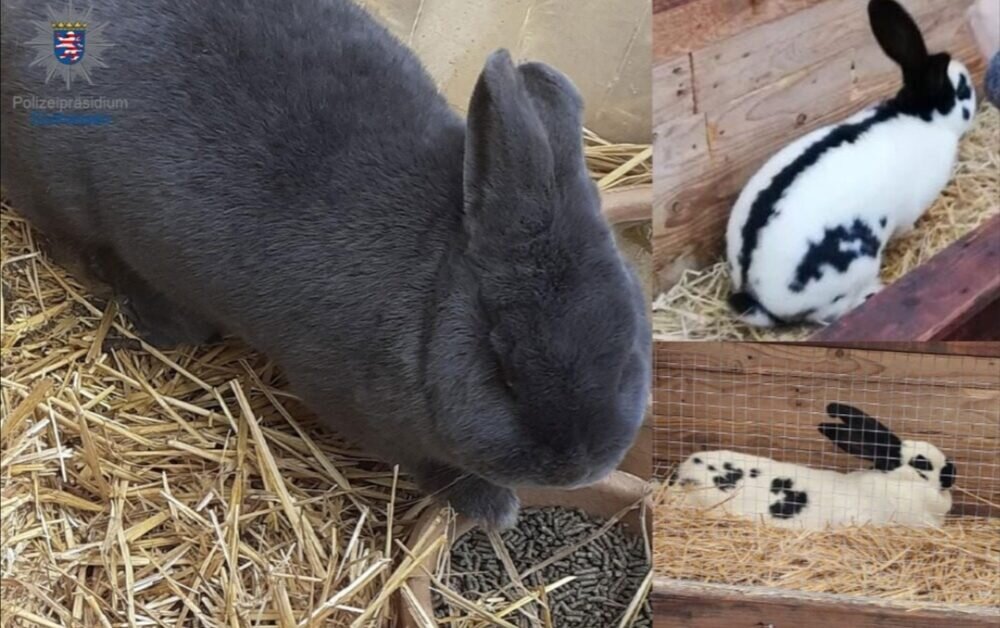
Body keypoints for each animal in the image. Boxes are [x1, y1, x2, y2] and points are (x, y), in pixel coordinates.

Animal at [0, 0, 651, 530]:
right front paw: (496, 508)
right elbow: (431, 466)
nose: (577, 467)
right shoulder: (361, 410)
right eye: (503, 373)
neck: (433, 282)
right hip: (67, 196)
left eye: (627, 358)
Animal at [726, 0, 978, 327]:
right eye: (962, 90)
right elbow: (907, 225)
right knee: (831, 313)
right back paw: (871, 293)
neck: (921, 116)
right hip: (852, 269)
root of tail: (754, 290)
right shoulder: (911, 207)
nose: (974, 96)